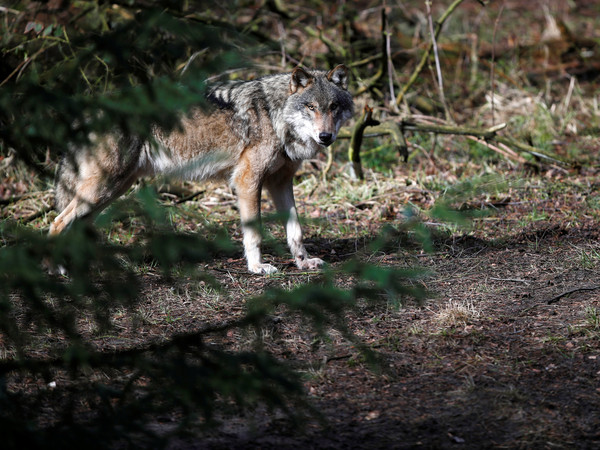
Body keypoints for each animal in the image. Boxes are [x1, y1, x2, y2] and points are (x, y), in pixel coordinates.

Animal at [50, 63, 356, 274]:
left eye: (334, 107)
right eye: (311, 107)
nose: (325, 137)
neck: (275, 115)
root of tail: (86, 112)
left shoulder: (280, 183)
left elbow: (296, 231)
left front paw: (303, 262)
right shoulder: (247, 180)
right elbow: (254, 233)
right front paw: (257, 268)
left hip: (111, 191)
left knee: (74, 225)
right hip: (103, 189)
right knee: (57, 223)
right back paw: (57, 270)